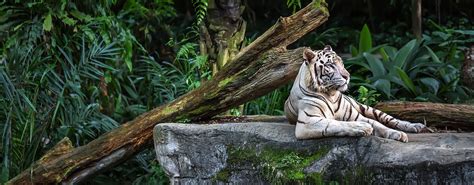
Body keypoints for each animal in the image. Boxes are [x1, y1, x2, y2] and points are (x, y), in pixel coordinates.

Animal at [286, 45, 430, 142]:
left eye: (342, 63)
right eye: (330, 65)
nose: (347, 76)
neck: (331, 94)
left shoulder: (356, 115)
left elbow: (378, 124)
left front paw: (397, 134)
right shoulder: (308, 122)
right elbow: (336, 123)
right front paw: (363, 127)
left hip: (365, 107)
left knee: (389, 119)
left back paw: (416, 126)